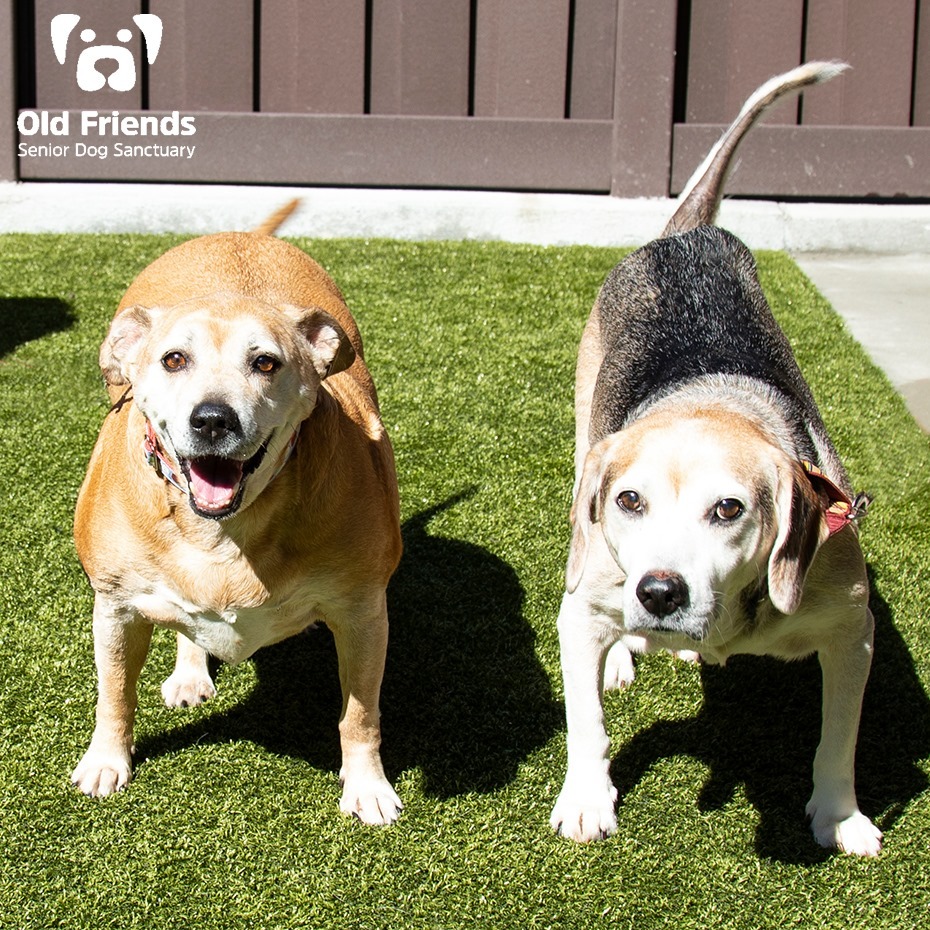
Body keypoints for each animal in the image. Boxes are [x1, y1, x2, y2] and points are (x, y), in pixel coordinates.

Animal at [70, 201, 404, 820]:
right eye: (174, 359)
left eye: (266, 363)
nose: (211, 419)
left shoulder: (364, 613)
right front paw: (107, 760)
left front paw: (367, 786)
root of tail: (237, 236)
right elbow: (114, 693)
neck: (224, 533)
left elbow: (360, 714)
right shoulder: (116, 608)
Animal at [548, 61, 880, 852]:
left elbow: (838, 740)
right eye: (629, 501)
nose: (660, 593)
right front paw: (587, 799)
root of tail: (690, 235)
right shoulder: (580, 609)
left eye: (729, 509)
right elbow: (587, 723)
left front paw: (839, 815)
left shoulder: (853, 635)